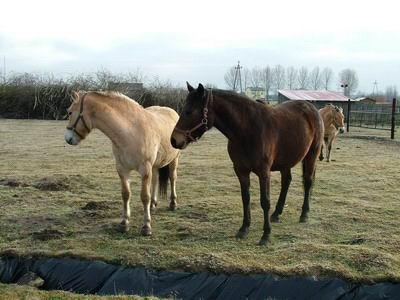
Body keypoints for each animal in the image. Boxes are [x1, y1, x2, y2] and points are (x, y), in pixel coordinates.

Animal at [65, 90, 180, 236]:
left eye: (69, 112)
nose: (68, 138)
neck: (131, 132)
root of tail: (171, 111)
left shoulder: (145, 169)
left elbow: (144, 196)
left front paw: (146, 226)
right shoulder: (122, 169)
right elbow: (126, 195)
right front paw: (124, 223)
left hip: (174, 159)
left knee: (172, 178)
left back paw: (173, 204)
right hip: (154, 165)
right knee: (155, 179)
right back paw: (153, 205)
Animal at [170, 83, 324, 245]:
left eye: (189, 111)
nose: (174, 140)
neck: (247, 130)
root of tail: (312, 108)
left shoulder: (264, 172)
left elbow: (265, 201)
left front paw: (266, 235)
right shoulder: (241, 171)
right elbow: (246, 198)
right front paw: (244, 228)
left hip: (311, 155)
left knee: (308, 182)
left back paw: (304, 214)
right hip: (285, 161)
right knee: (286, 182)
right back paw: (276, 214)